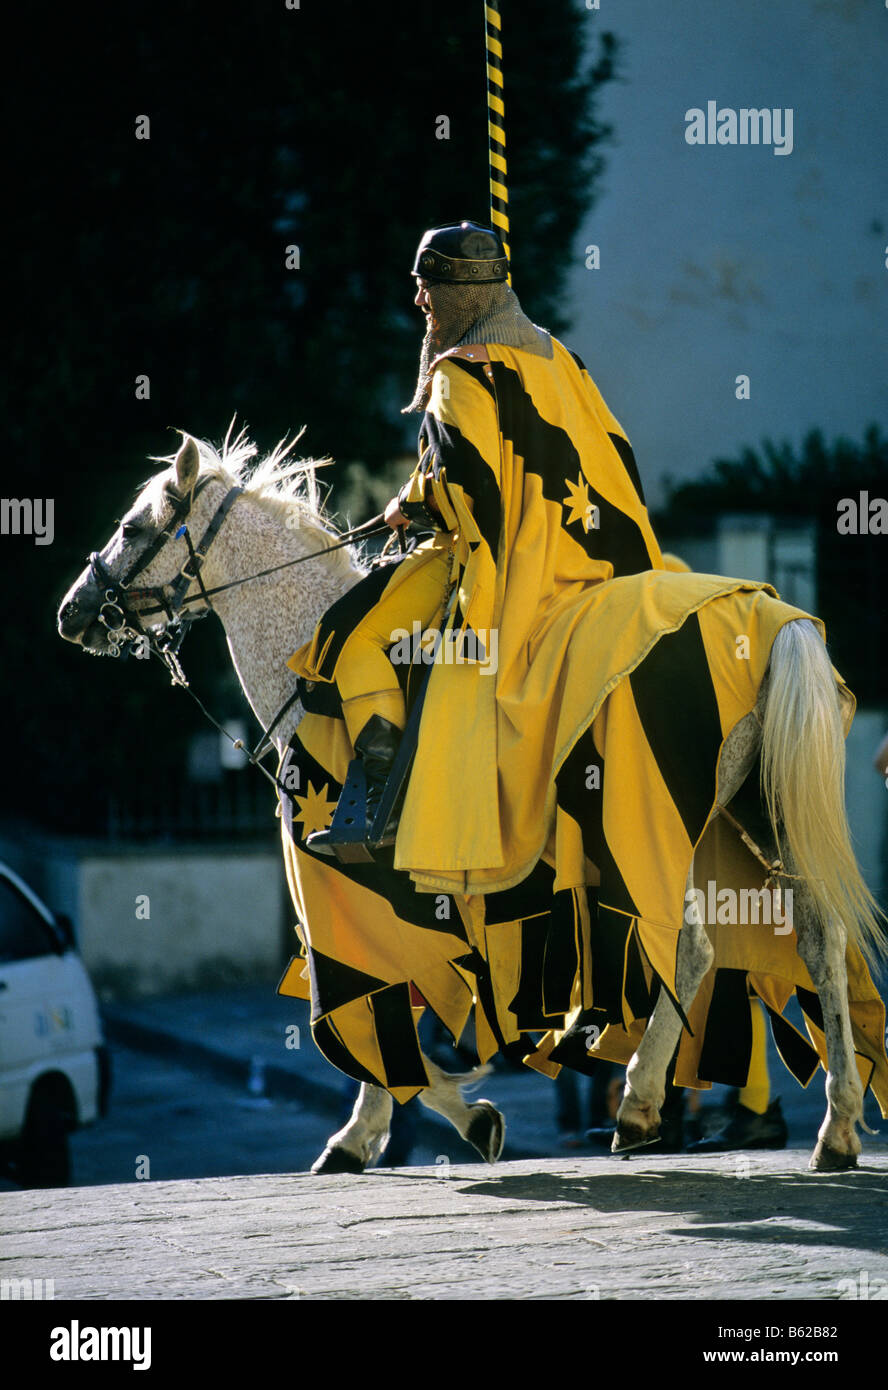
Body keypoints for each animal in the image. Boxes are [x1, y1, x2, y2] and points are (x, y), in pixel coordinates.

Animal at [59, 430, 883, 1173]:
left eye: (132, 527)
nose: (72, 611)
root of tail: (771, 618)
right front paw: (428, 1116)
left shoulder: (356, 884)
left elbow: (380, 994)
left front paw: (408, 1124)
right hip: (758, 815)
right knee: (821, 941)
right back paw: (835, 1128)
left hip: (646, 827)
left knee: (694, 952)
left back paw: (640, 1105)